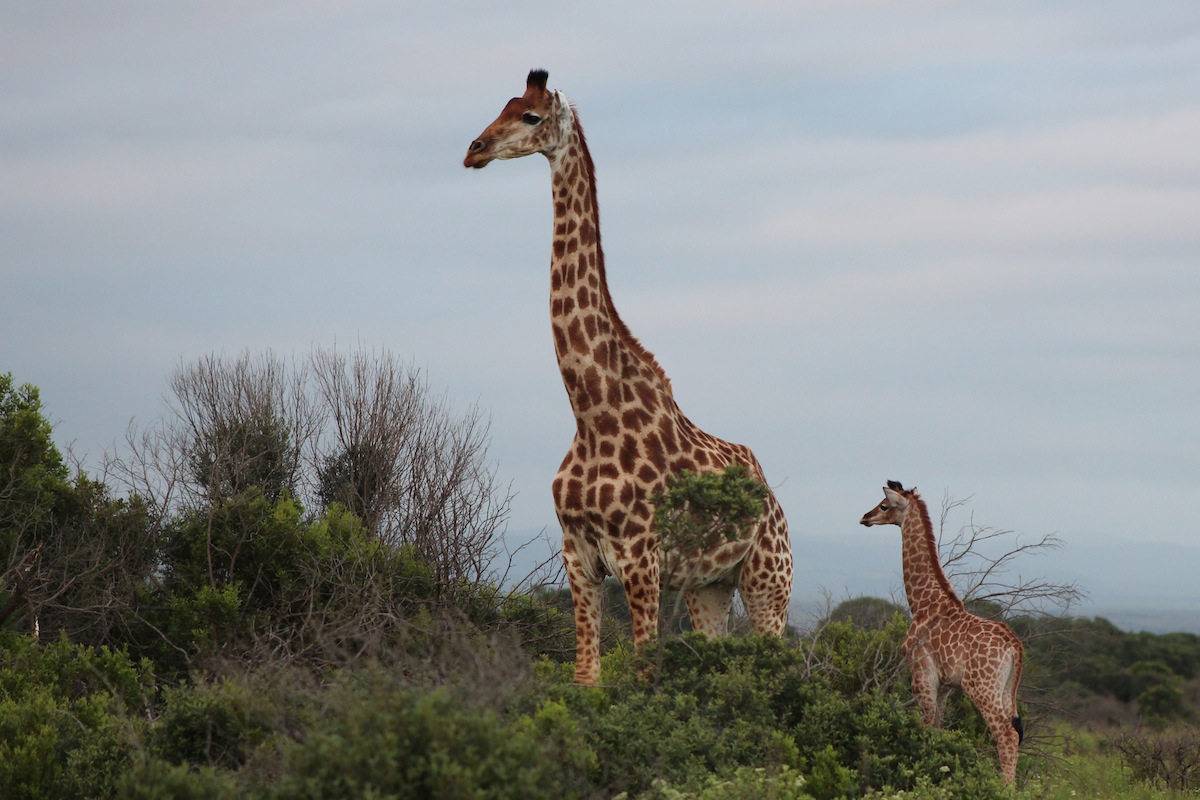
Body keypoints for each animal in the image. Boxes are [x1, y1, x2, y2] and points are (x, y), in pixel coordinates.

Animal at [463, 68, 792, 686]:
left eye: (530, 117)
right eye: (503, 106)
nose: (474, 150)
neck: (590, 408)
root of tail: (771, 495)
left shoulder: (640, 560)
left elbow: (643, 676)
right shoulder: (578, 557)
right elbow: (587, 677)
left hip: (769, 580)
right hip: (709, 586)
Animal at [864, 479, 1022, 786]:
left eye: (884, 505)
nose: (865, 517)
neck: (923, 602)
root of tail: (1014, 646)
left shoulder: (921, 673)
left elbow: (925, 723)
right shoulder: (946, 685)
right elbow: (938, 727)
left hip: (981, 687)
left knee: (1006, 734)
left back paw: (1004, 788)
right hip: (1007, 689)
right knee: (1015, 733)